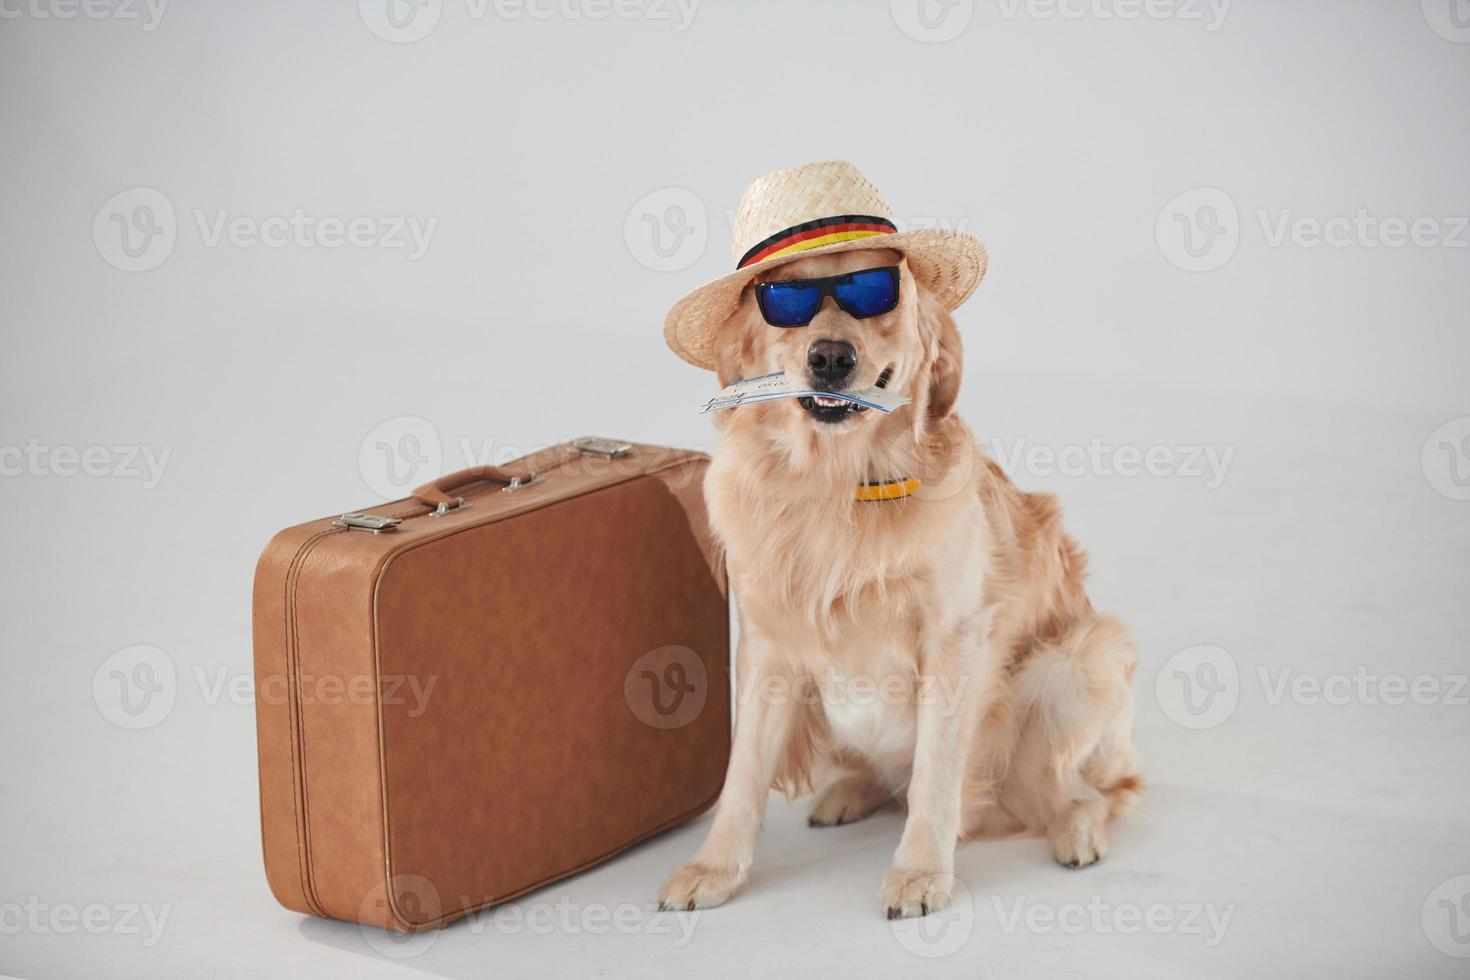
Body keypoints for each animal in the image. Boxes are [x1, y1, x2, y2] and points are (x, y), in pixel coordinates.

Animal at [658, 246, 1146, 922]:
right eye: (786, 298)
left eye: (875, 292)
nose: (830, 358)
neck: (834, 485)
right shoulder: (769, 646)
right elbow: (743, 776)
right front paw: (714, 868)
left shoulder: (954, 641)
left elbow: (934, 778)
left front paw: (919, 874)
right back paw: (849, 792)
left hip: (1074, 664)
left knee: (1097, 791)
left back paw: (1076, 832)